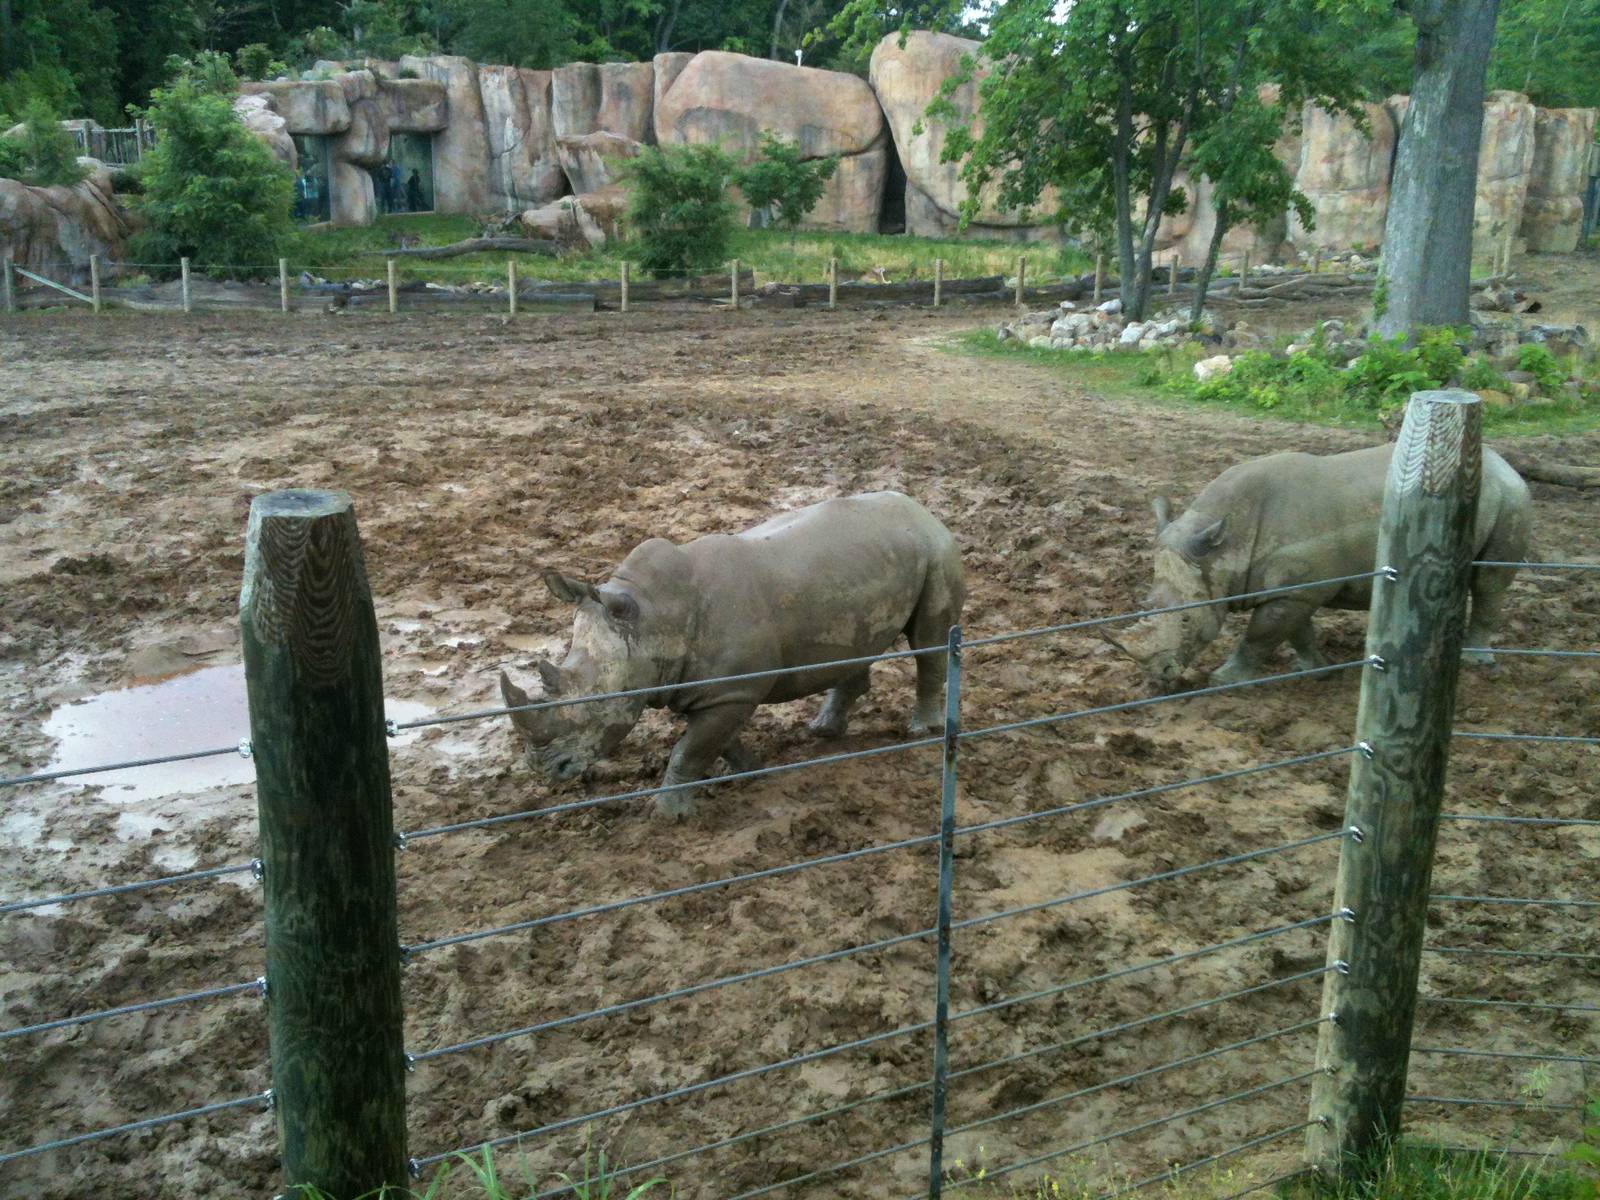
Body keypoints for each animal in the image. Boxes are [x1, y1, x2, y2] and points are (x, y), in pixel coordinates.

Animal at [499, 491, 965, 817]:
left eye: (600, 703)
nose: (547, 770)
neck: (651, 618)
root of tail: (922, 509)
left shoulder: (733, 691)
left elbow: (691, 749)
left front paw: (669, 816)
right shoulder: (712, 689)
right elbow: (714, 742)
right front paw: (749, 770)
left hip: (938, 551)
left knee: (929, 643)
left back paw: (921, 732)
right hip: (871, 565)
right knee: (857, 646)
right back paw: (824, 731)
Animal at [1106, 444, 1532, 690]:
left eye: (1185, 619)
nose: (1158, 678)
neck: (1226, 542)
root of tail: (1502, 462)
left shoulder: (1294, 591)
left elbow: (1260, 636)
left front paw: (1224, 680)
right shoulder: (1295, 590)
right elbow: (1297, 633)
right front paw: (1317, 671)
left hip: (1513, 497)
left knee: (1490, 581)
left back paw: (1476, 662)